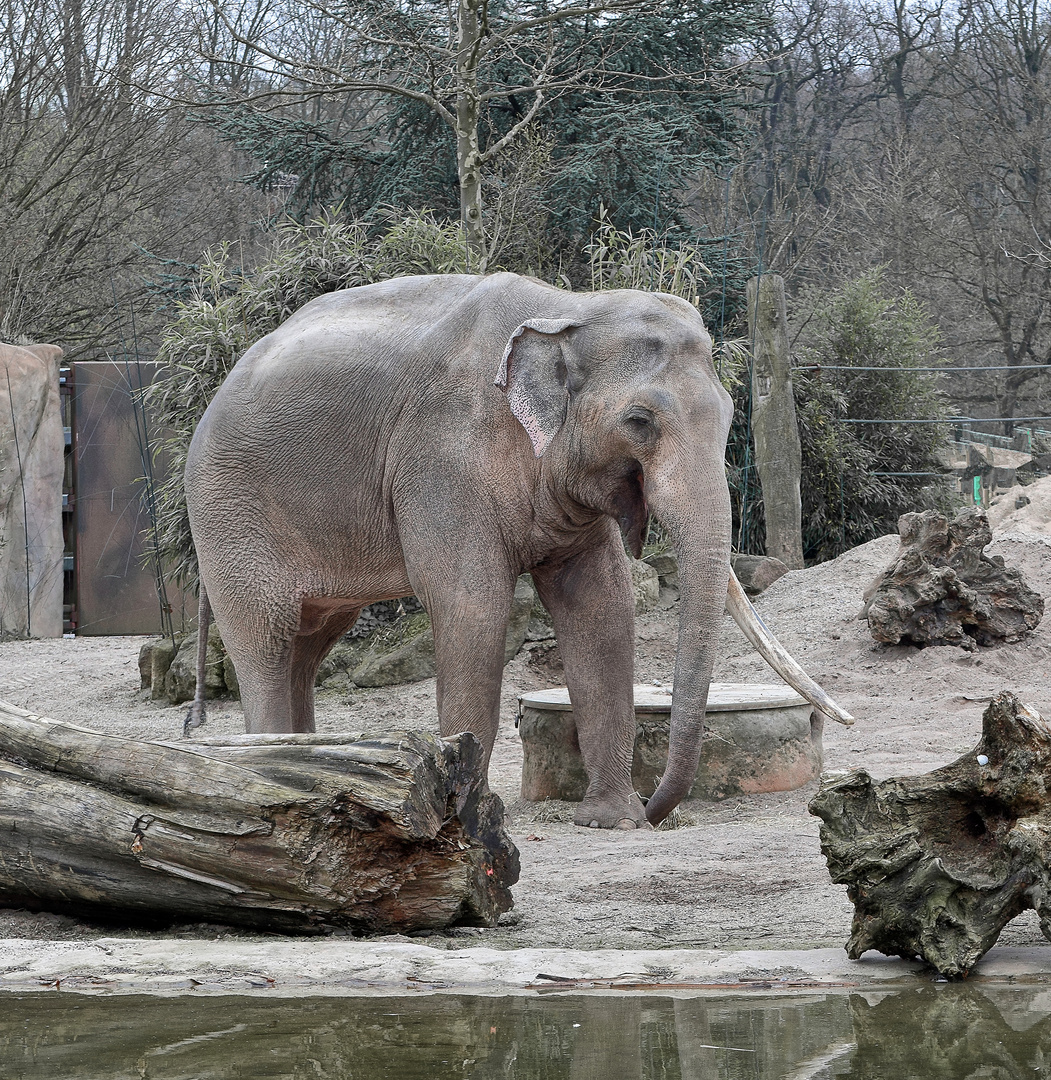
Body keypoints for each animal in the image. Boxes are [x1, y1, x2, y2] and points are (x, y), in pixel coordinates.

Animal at [184, 270, 846, 825]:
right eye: (639, 422)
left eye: (733, 413)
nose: (659, 811)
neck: (570, 308)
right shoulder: (442, 459)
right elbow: (471, 607)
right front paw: (471, 813)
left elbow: (601, 605)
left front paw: (612, 821)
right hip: (229, 516)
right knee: (265, 639)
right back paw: (268, 763)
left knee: (308, 641)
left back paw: (307, 758)